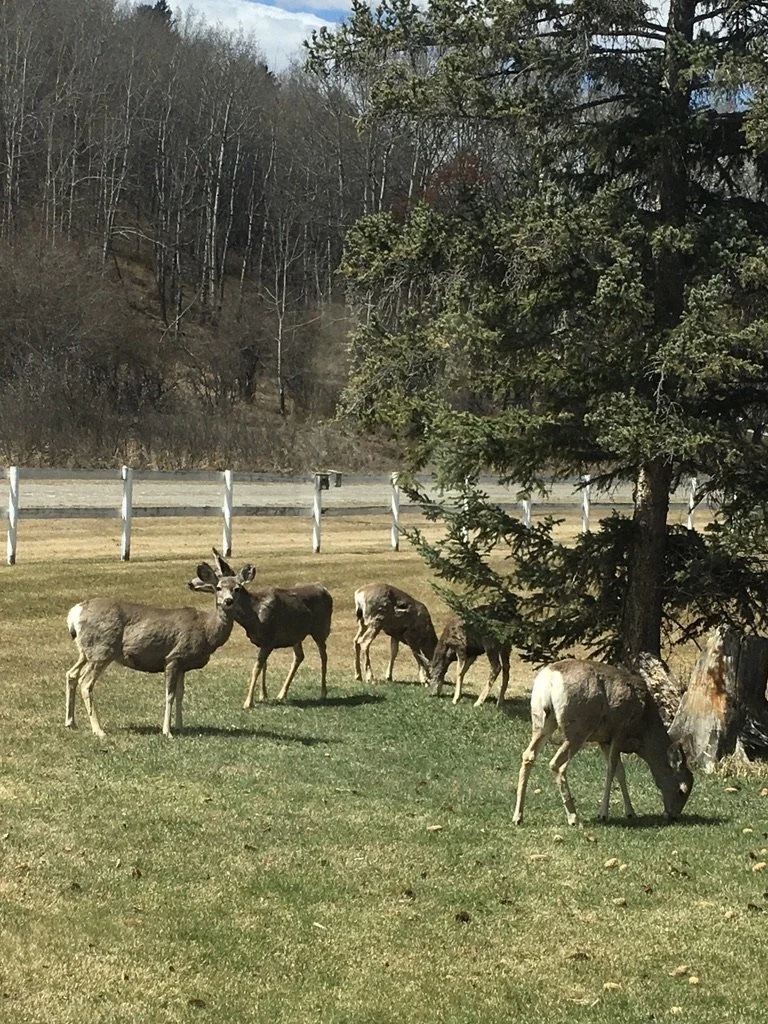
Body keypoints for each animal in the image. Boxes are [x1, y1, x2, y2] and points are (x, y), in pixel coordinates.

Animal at [65, 560, 254, 738]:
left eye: (237, 588)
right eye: (219, 587)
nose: (228, 601)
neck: (207, 630)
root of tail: (74, 613)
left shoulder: (183, 665)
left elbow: (180, 694)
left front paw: (180, 726)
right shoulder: (173, 657)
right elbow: (169, 695)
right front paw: (167, 731)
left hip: (86, 651)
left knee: (71, 674)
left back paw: (71, 723)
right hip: (102, 649)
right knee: (85, 682)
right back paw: (98, 730)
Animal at [211, 548, 333, 706]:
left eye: (237, 588)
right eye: (219, 587)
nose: (228, 600)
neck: (254, 615)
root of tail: (324, 589)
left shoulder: (269, 639)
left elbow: (256, 668)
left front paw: (248, 702)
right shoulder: (264, 641)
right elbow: (264, 665)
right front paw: (263, 695)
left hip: (321, 627)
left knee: (323, 655)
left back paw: (323, 693)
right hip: (296, 634)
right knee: (299, 655)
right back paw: (282, 694)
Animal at [512, 658, 694, 826]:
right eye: (682, 790)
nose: (673, 816)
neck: (643, 727)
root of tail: (549, 678)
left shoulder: (604, 739)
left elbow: (620, 771)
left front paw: (630, 812)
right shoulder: (619, 731)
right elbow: (612, 769)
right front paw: (603, 814)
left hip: (541, 720)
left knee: (528, 755)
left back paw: (518, 817)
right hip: (578, 727)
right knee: (557, 764)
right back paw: (573, 818)